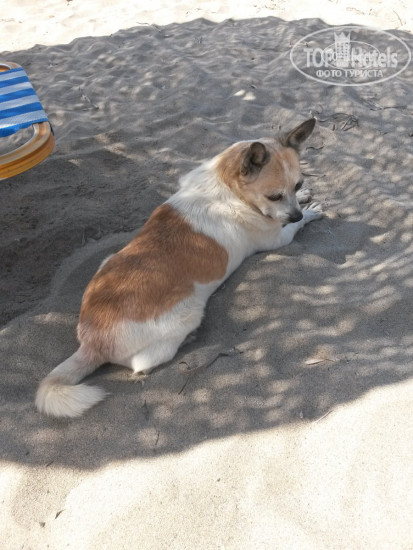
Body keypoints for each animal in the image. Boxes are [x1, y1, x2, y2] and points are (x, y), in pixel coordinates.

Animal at [35, 118, 323, 418]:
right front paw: (310, 212)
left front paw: (306, 196)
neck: (227, 189)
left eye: (297, 183)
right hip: (187, 315)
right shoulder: (278, 238)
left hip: (107, 261)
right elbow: (292, 226)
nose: (296, 214)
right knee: (143, 364)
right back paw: (186, 340)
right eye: (274, 196)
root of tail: (91, 342)